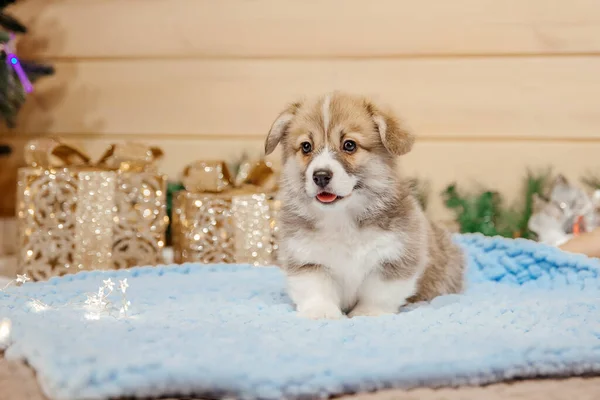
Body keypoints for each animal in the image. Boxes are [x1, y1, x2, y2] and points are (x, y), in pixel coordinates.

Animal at [264, 92, 466, 320]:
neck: (341, 218)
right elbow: (316, 289)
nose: (321, 175)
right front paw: (321, 313)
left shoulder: (394, 258)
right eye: (306, 146)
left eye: (349, 145)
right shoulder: (306, 259)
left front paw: (368, 313)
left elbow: (379, 293)